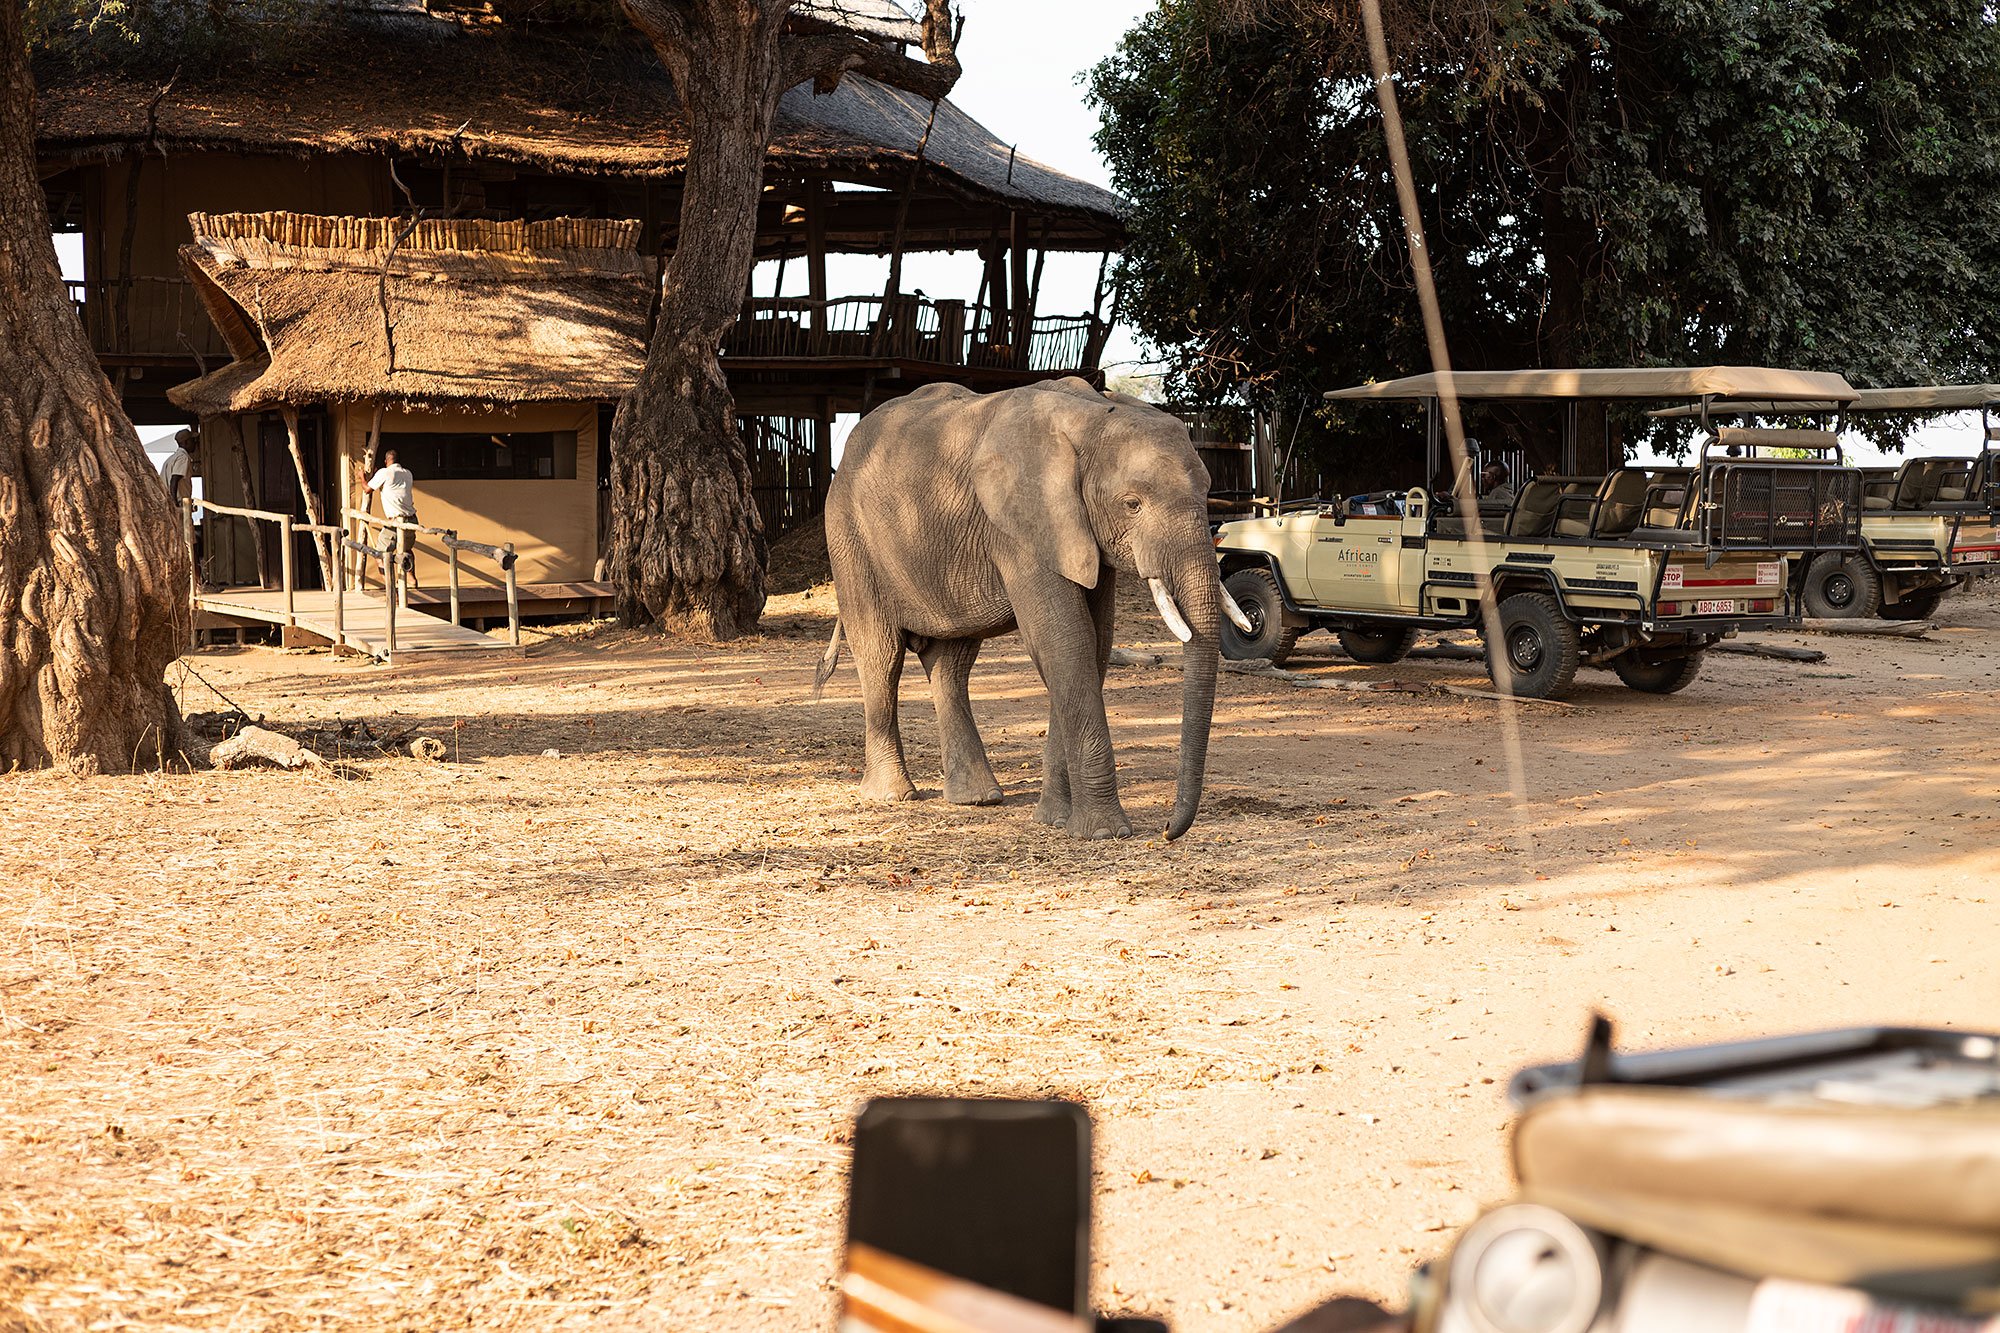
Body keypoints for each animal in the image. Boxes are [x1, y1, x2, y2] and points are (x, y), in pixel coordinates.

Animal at [816, 377, 1254, 840]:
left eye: (1206, 493)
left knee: (952, 662)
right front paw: (1103, 833)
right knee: (881, 655)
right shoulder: (1021, 526)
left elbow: (1093, 644)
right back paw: (892, 796)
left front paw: (1056, 821)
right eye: (1132, 503)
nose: (1169, 828)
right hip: (848, 537)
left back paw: (977, 799)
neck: (1092, 417)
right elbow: (1065, 641)